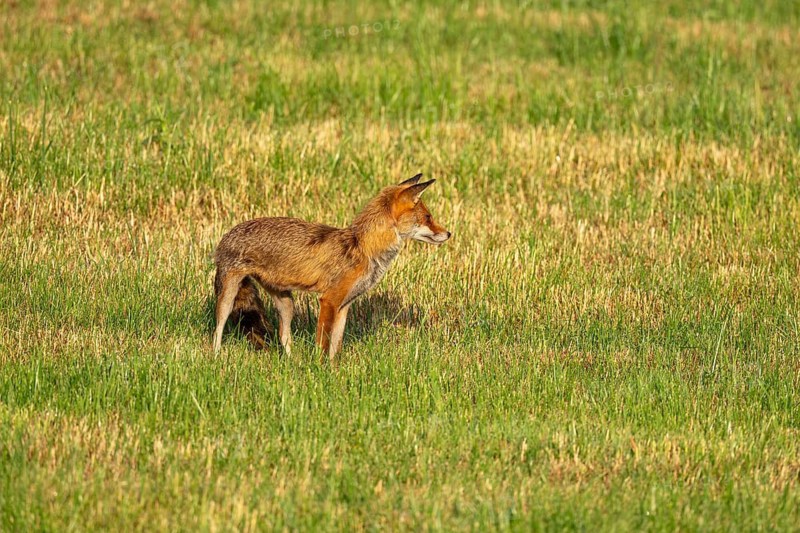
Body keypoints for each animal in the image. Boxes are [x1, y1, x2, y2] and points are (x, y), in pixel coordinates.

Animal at [212, 174, 451, 359]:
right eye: (428, 217)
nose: (449, 233)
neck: (363, 247)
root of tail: (227, 234)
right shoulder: (328, 300)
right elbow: (323, 343)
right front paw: (319, 371)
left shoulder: (344, 305)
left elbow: (335, 346)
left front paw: (334, 372)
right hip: (228, 297)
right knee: (218, 329)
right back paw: (216, 358)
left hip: (286, 303)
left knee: (283, 336)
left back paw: (292, 363)